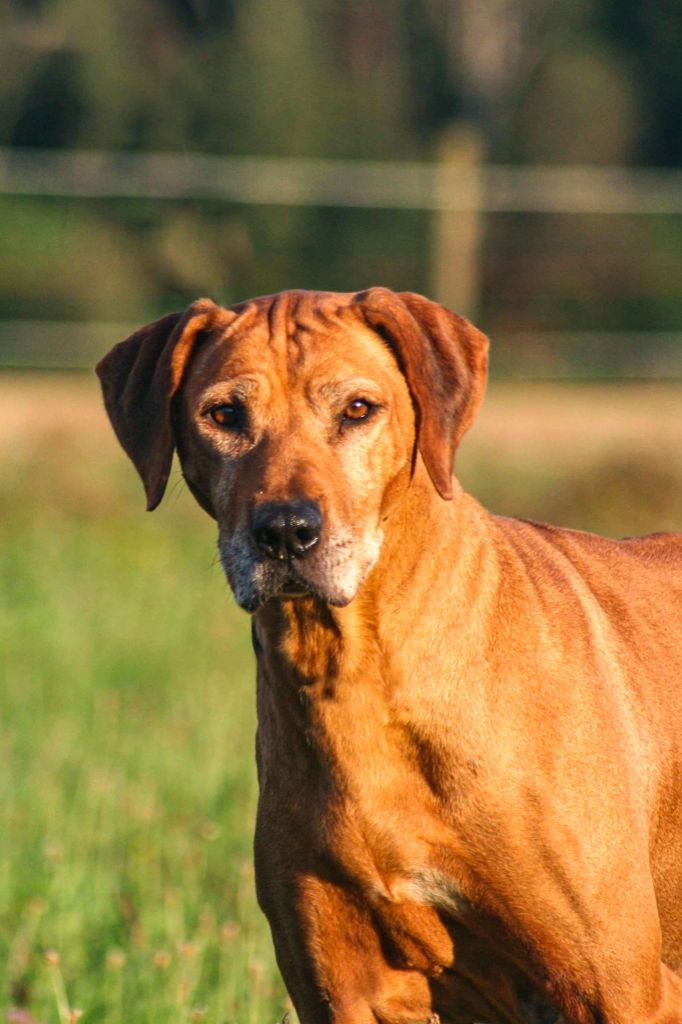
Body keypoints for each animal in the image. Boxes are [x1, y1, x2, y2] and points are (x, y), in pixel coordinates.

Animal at [96, 288, 679, 1024]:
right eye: (224, 415)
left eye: (357, 409)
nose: (285, 531)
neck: (354, 675)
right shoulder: (340, 989)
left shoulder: (621, 987)